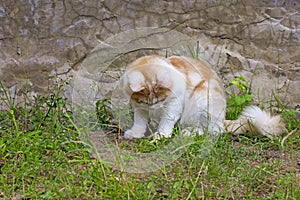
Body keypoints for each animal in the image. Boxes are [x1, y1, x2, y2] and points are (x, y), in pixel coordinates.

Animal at [119, 54, 284, 139]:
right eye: (147, 102)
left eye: (160, 100)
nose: (155, 108)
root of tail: (223, 118)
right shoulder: (138, 107)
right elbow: (139, 121)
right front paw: (136, 133)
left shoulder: (174, 104)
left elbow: (167, 121)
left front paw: (161, 135)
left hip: (202, 97)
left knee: (212, 130)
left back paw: (188, 133)